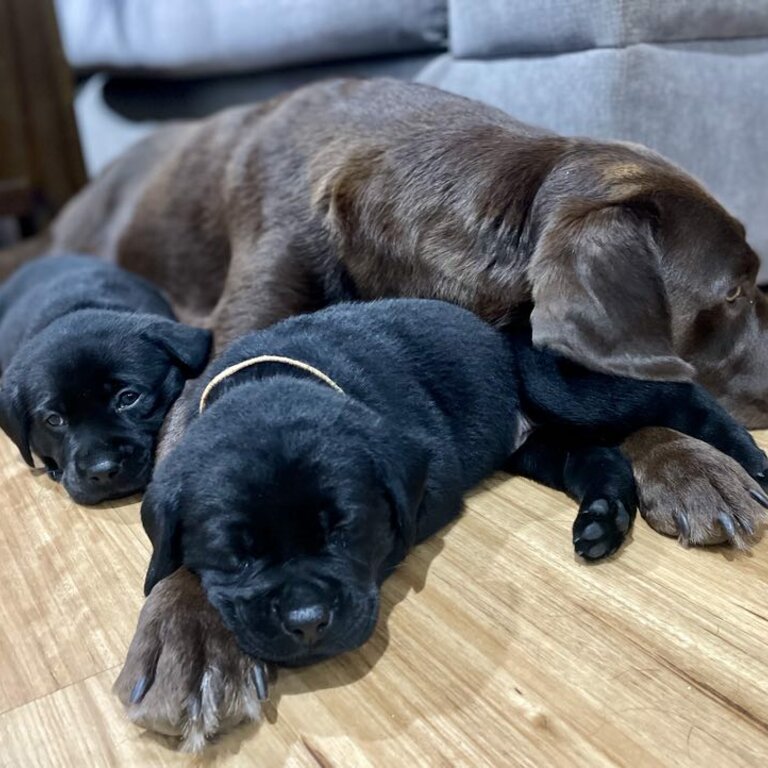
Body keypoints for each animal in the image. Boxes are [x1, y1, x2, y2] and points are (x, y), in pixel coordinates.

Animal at [140, 300, 768, 664]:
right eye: (235, 556)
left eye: (346, 533)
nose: (306, 623)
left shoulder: (428, 473)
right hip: (539, 446)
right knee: (599, 460)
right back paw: (602, 522)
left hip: (567, 391)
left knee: (680, 397)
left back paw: (749, 459)